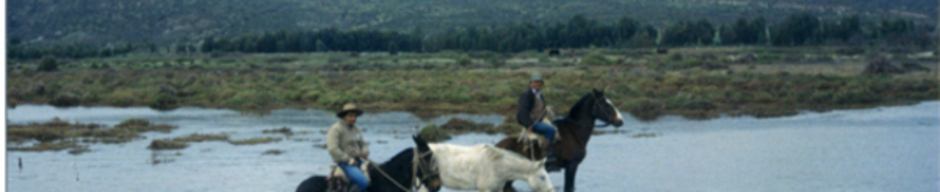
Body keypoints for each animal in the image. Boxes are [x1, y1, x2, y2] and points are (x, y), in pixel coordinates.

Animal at [492, 89, 624, 192]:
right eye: (606, 105)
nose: (620, 121)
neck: (574, 132)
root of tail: (496, 147)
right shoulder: (571, 166)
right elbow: (569, 188)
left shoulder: (572, 166)